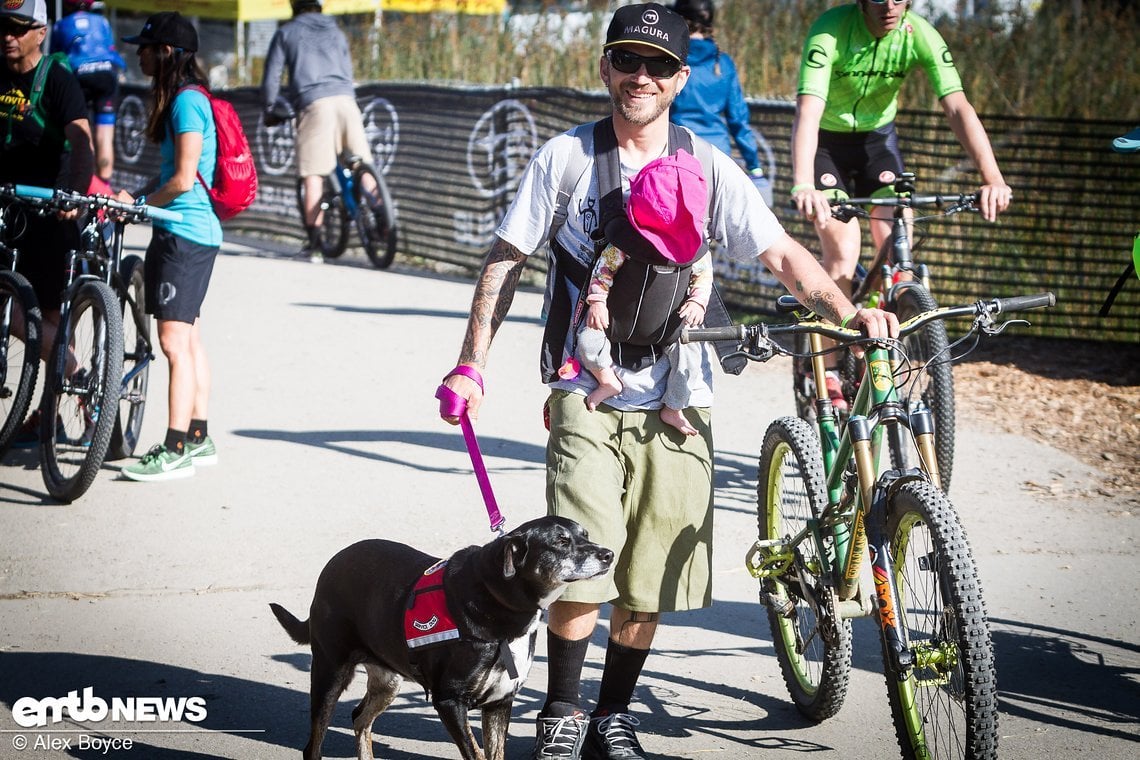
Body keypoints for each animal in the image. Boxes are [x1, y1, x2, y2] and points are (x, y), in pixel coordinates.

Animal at [271, 517, 615, 760]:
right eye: (561, 542)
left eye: (585, 534)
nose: (609, 554)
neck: (499, 598)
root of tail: (334, 563)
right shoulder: (449, 701)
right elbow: (476, 754)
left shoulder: (500, 703)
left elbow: (494, 753)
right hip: (330, 673)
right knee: (314, 745)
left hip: (388, 681)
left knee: (359, 718)